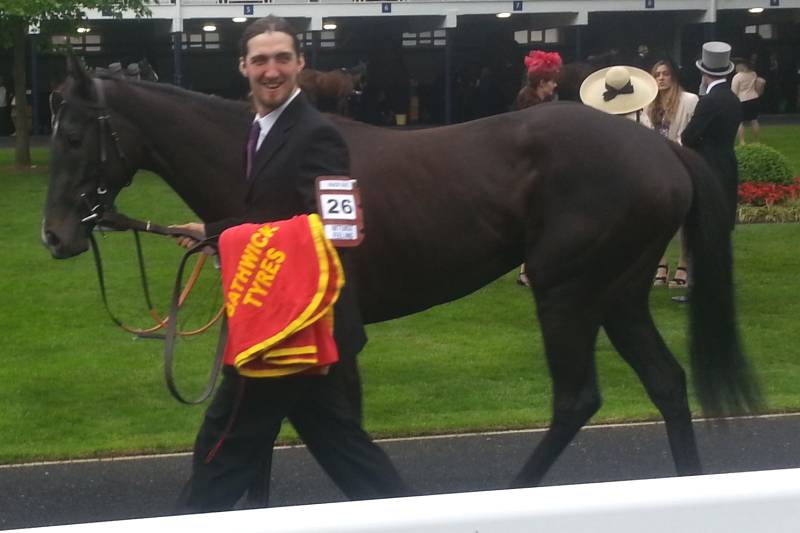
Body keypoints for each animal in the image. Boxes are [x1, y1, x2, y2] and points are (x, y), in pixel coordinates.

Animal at [42, 56, 761, 490]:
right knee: (667, 382)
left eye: (73, 136)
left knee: (577, 397)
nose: (54, 235)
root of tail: (661, 151)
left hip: (566, 289)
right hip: (620, 292)